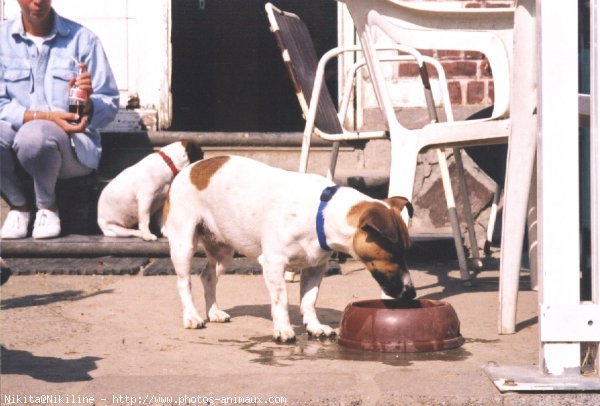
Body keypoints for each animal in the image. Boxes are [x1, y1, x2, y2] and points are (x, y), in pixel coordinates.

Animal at [164, 155, 418, 342]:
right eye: (393, 255)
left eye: (406, 254)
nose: (412, 294)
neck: (321, 214)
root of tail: (191, 168)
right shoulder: (273, 264)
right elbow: (281, 300)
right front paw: (283, 329)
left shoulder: (316, 267)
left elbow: (309, 300)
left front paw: (314, 327)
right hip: (183, 243)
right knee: (184, 282)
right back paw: (192, 317)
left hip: (223, 251)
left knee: (207, 276)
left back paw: (213, 312)